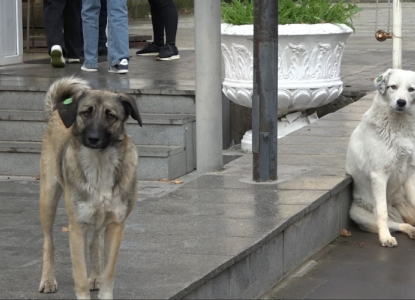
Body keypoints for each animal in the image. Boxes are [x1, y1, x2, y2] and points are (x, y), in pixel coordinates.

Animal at [39, 77, 143, 298]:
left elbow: (109, 273)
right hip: (48, 199)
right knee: (48, 242)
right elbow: (79, 276)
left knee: (95, 242)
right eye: (85, 112)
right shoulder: (76, 226)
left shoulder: (116, 225)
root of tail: (55, 111)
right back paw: (48, 279)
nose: (93, 139)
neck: (100, 164)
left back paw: (95, 276)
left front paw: (102, 286)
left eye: (110, 115)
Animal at [346, 69, 415, 247]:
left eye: (411, 89)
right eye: (393, 87)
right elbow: (382, 213)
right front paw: (385, 238)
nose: (401, 102)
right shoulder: (379, 175)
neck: (399, 128)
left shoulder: (410, 173)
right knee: (393, 223)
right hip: (358, 213)